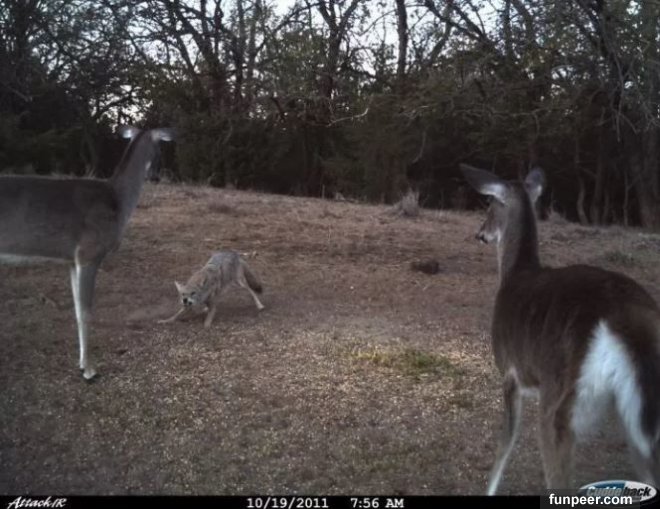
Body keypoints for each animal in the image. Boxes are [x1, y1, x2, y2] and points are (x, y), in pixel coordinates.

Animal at [0, 126, 174, 380]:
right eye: (160, 150)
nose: (157, 177)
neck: (118, 202)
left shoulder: (72, 261)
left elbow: (75, 309)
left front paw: (82, 363)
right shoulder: (89, 253)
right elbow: (85, 312)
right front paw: (89, 369)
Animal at [461, 164, 660, 494]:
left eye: (490, 204)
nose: (480, 234)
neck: (514, 274)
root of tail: (622, 315)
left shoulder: (510, 371)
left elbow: (505, 445)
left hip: (560, 399)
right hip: (637, 419)